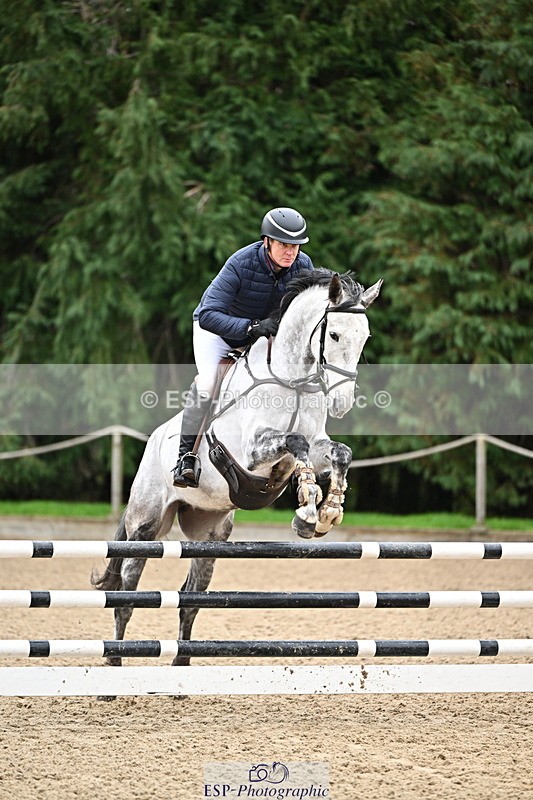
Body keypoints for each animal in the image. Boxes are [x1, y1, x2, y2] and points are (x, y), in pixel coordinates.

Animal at [93, 269, 381, 669]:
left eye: (364, 337)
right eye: (335, 334)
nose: (341, 404)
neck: (291, 379)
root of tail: (154, 441)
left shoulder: (315, 446)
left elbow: (339, 452)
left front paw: (328, 511)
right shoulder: (250, 453)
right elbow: (297, 444)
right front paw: (308, 509)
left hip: (210, 535)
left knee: (189, 600)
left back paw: (180, 668)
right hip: (146, 526)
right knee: (126, 592)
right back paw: (114, 664)